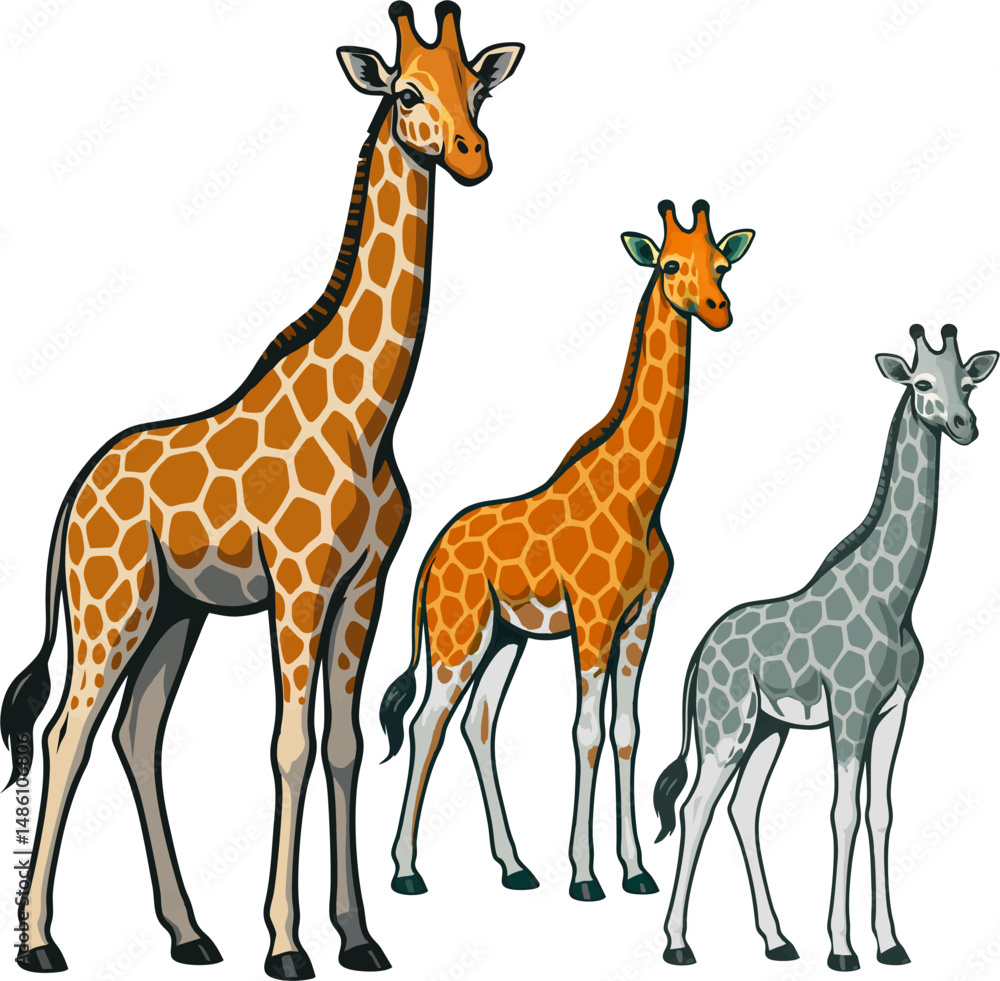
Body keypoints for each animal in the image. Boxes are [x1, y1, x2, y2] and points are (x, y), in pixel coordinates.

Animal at [0, 4, 524, 977]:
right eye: (406, 92)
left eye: (478, 86)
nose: (473, 156)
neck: (371, 414)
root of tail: (72, 495)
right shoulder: (300, 584)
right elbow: (289, 746)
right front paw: (286, 944)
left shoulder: (364, 585)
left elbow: (345, 745)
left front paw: (358, 935)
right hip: (110, 604)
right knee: (64, 732)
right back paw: (44, 940)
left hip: (174, 612)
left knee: (136, 734)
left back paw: (189, 933)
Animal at [380, 200, 756, 900]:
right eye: (670, 265)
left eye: (722, 263)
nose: (719, 309)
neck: (643, 495)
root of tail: (430, 557)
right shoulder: (593, 617)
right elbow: (586, 732)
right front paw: (585, 876)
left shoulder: (641, 619)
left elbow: (627, 732)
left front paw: (635, 871)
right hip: (457, 634)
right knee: (426, 722)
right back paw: (408, 869)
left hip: (506, 637)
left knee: (477, 723)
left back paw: (515, 867)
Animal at [652, 325, 998, 970]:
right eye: (921, 383)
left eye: (968, 382)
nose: (966, 425)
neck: (895, 595)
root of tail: (700, 651)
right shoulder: (849, 709)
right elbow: (843, 814)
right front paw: (842, 949)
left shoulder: (895, 709)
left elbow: (881, 813)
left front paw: (891, 944)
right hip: (725, 728)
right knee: (695, 807)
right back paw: (679, 944)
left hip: (769, 728)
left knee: (741, 809)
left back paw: (777, 941)